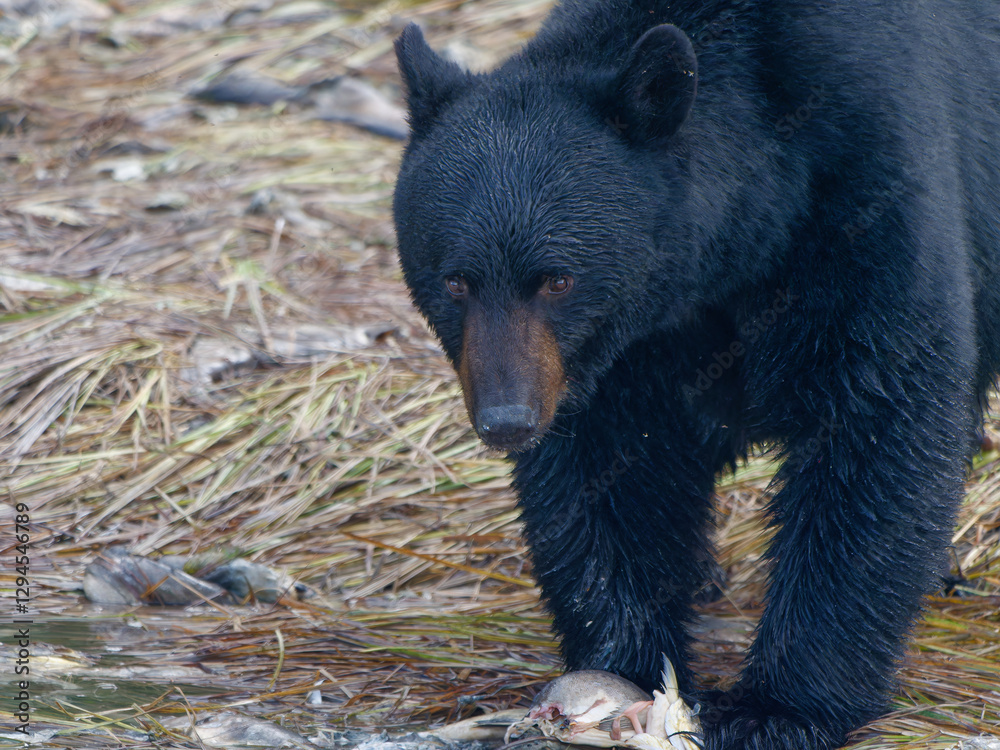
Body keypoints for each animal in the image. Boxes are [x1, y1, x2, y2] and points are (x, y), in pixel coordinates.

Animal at [391, 1, 1000, 749]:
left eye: (557, 279)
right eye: (455, 280)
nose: (507, 419)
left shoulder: (868, 189)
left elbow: (876, 419)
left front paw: (778, 707)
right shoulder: (624, 342)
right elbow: (607, 466)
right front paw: (623, 659)